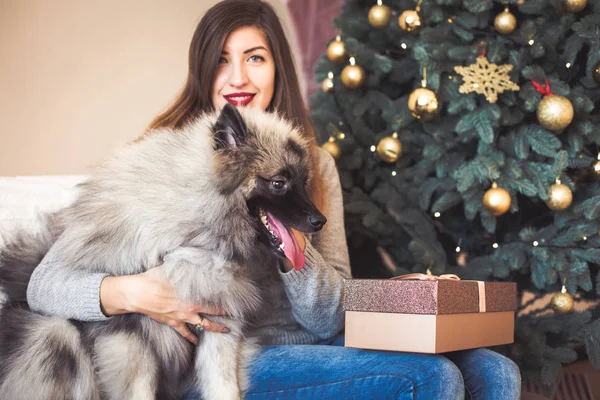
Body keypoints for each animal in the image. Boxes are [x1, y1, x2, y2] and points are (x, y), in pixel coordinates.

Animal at [0, 104, 326, 400]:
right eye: (278, 183)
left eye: (304, 182)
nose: (320, 221)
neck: (195, 235)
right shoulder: (131, 337)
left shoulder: (221, 326)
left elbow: (222, 386)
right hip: (55, 337)